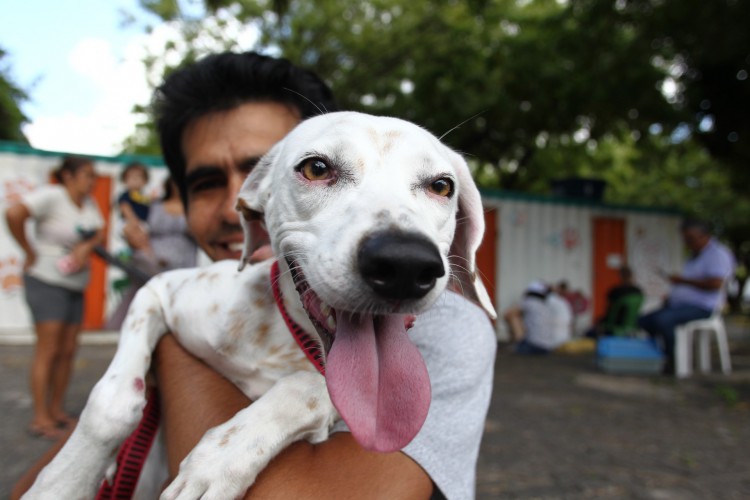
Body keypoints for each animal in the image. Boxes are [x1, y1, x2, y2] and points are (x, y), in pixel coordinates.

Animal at [23, 111, 496, 498]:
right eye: (316, 168)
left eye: (441, 186)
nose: (404, 264)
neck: (281, 338)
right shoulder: (157, 289)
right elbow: (113, 402)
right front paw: (64, 482)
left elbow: (311, 388)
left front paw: (219, 460)